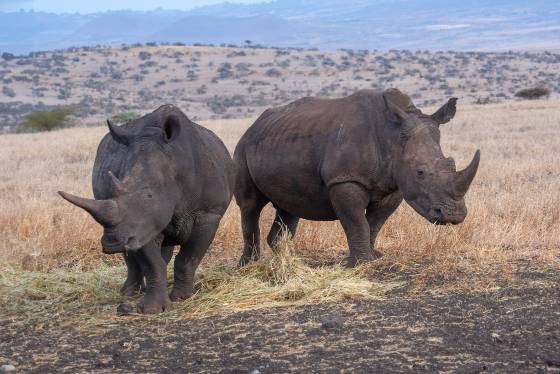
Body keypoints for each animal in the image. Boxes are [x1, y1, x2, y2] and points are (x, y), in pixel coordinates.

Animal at [60, 105, 235, 312]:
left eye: (149, 196)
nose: (111, 244)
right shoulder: (142, 225)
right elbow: (153, 264)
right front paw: (152, 309)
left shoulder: (209, 213)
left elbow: (187, 259)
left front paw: (182, 298)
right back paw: (129, 293)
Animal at [234, 89, 480, 268]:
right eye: (420, 172)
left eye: (451, 165)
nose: (453, 216)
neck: (392, 136)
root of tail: (253, 126)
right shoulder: (344, 180)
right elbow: (356, 222)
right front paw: (360, 263)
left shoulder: (393, 186)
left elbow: (374, 224)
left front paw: (374, 257)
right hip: (243, 147)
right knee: (250, 206)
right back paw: (248, 265)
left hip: (281, 142)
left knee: (289, 207)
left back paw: (290, 260)